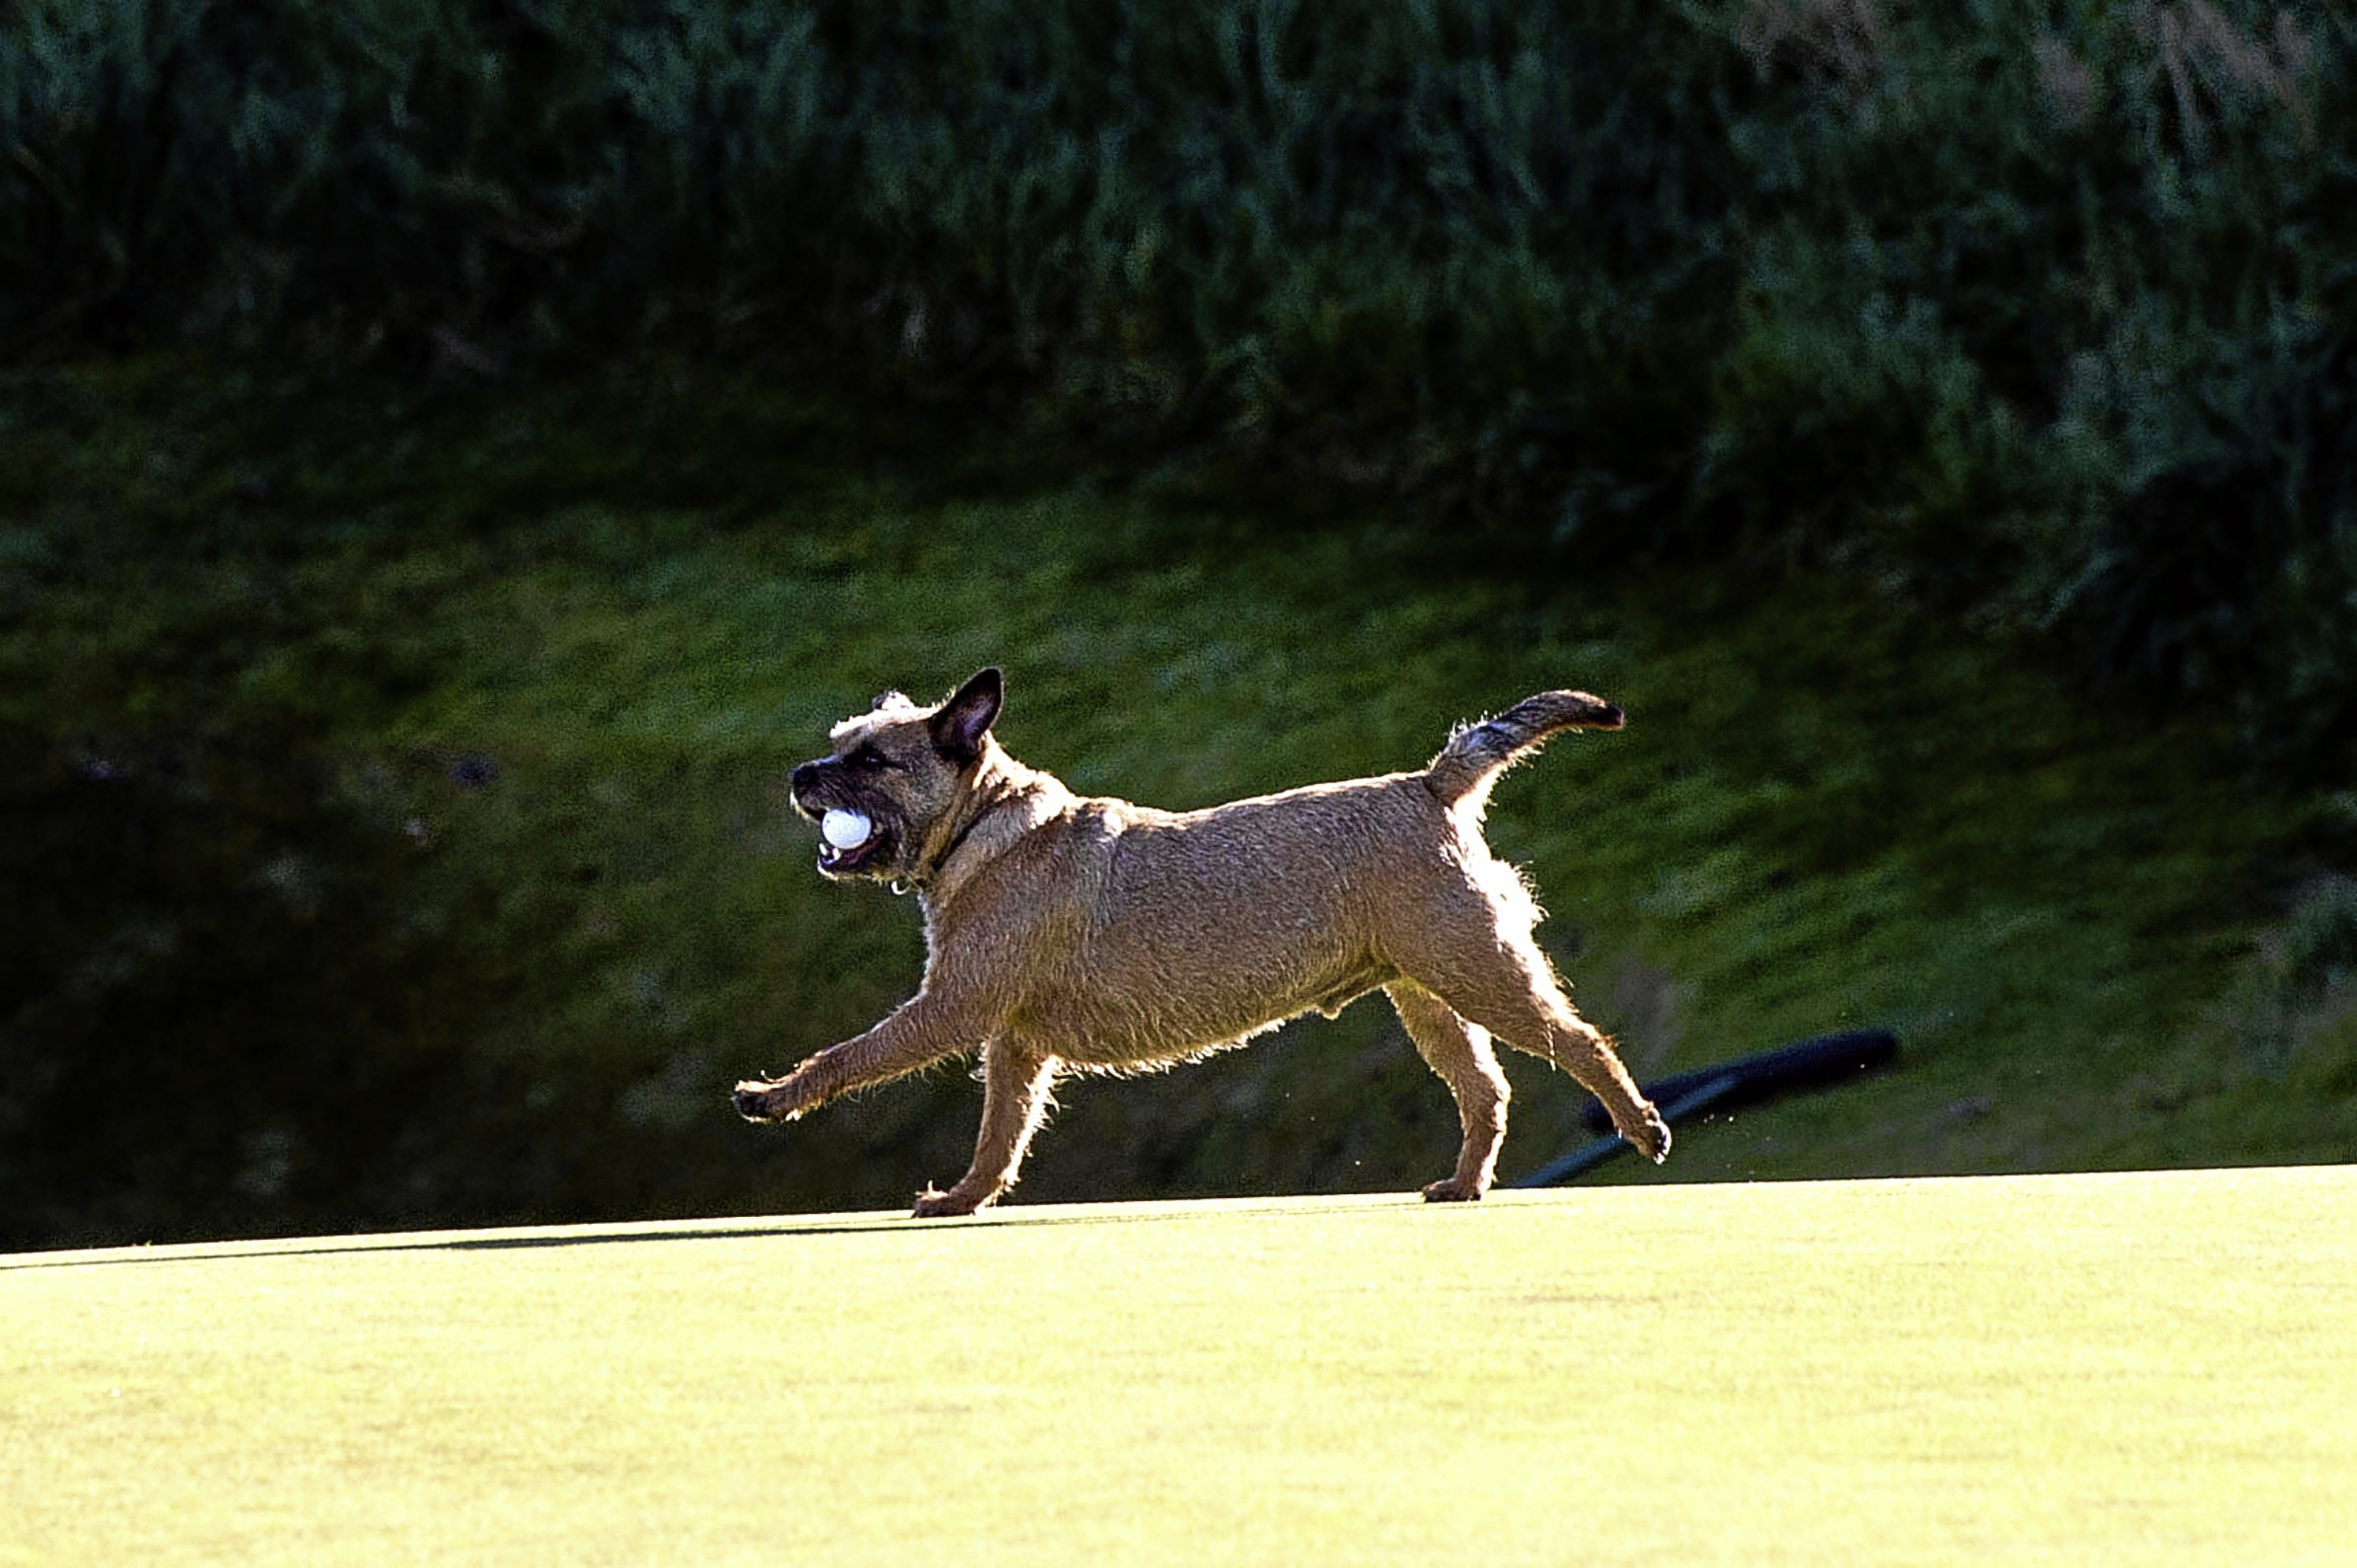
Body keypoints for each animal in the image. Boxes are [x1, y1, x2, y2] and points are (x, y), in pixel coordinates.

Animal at [726, 665, 1668, 1216]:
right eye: (838, 744)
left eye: (871, 760)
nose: (800, 775)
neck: (984, 828)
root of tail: (1430, 784)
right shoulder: (1014, 1044)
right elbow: (1002, 1134)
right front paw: (965, 1198)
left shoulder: (952, 1007)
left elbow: (851, 1055)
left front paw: (774, 1094)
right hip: (1431, 999)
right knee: (1487, 1090)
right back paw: (1465, 1184)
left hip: (1482, 974)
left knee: (1581, 1041)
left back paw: (1640, 1125)